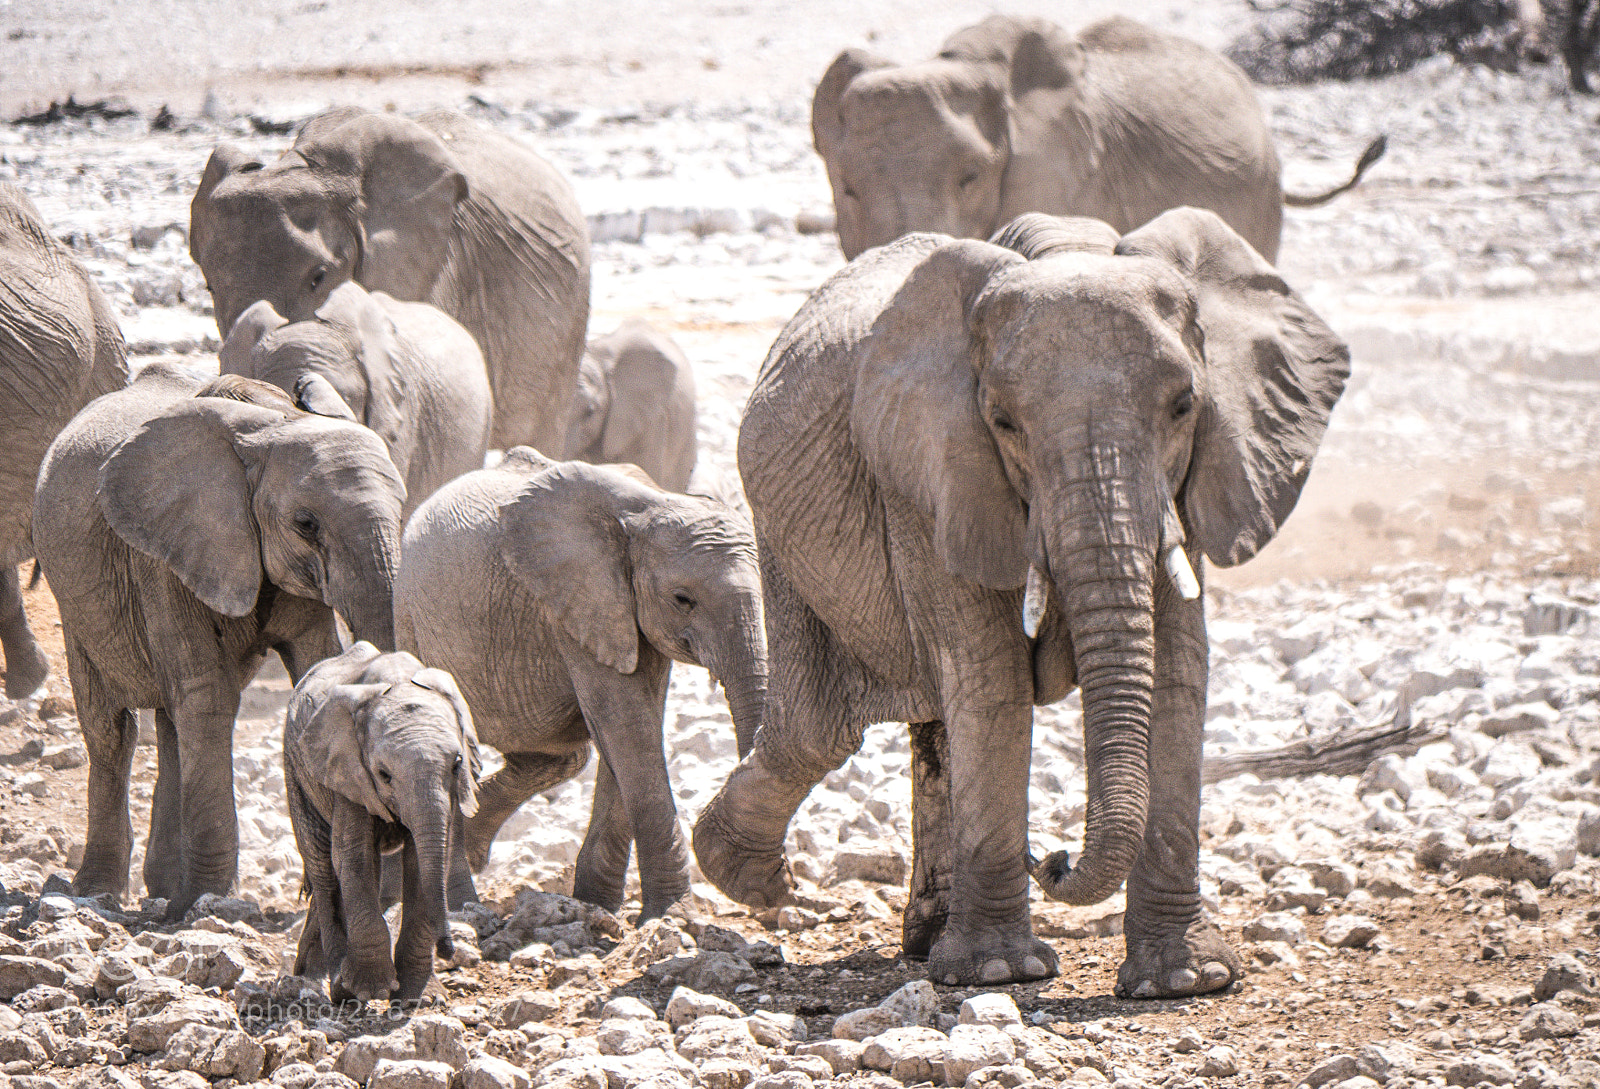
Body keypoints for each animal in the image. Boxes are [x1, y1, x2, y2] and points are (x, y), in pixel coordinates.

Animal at [33, 366, 406, 916]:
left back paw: (162, 891)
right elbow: (208, 696)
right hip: (76, 601)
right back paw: (99, 893)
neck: (274, 422)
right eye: (306, 524)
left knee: (171, 724)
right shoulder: (161, 554)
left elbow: (314, 670)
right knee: (112, 732)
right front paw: (206, 902)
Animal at [285, 641, 480, 1003]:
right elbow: (354, 857)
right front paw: (369, 990)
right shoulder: (347, 770)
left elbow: (424, 863)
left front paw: (420, 997)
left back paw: (311, 976)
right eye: (383, 774)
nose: (448, 951)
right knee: (323, 868)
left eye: (457, 763)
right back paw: (337, 988)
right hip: (296, 772)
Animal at [396, 449, 766, 919]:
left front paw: (597, 906)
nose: (770, 890)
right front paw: (672, 916)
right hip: (410, 620)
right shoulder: (572, 602)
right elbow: (626, 726)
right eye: (683, 599)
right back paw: (464, 907)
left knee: (561, 758)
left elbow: (633, 727)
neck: (650, 507)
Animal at [692, 208, 1349, 995]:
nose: (1054, 857)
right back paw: (749, 876)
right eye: (1004, 422)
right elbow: (992, 673)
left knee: (920, 726)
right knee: (818, 730)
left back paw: (923, 938)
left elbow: (1176, 669)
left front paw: (1186, 980)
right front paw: (1001, 972)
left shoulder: (1193, 479)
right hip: (781, 536)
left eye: (1184, 405)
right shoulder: (933, 474)